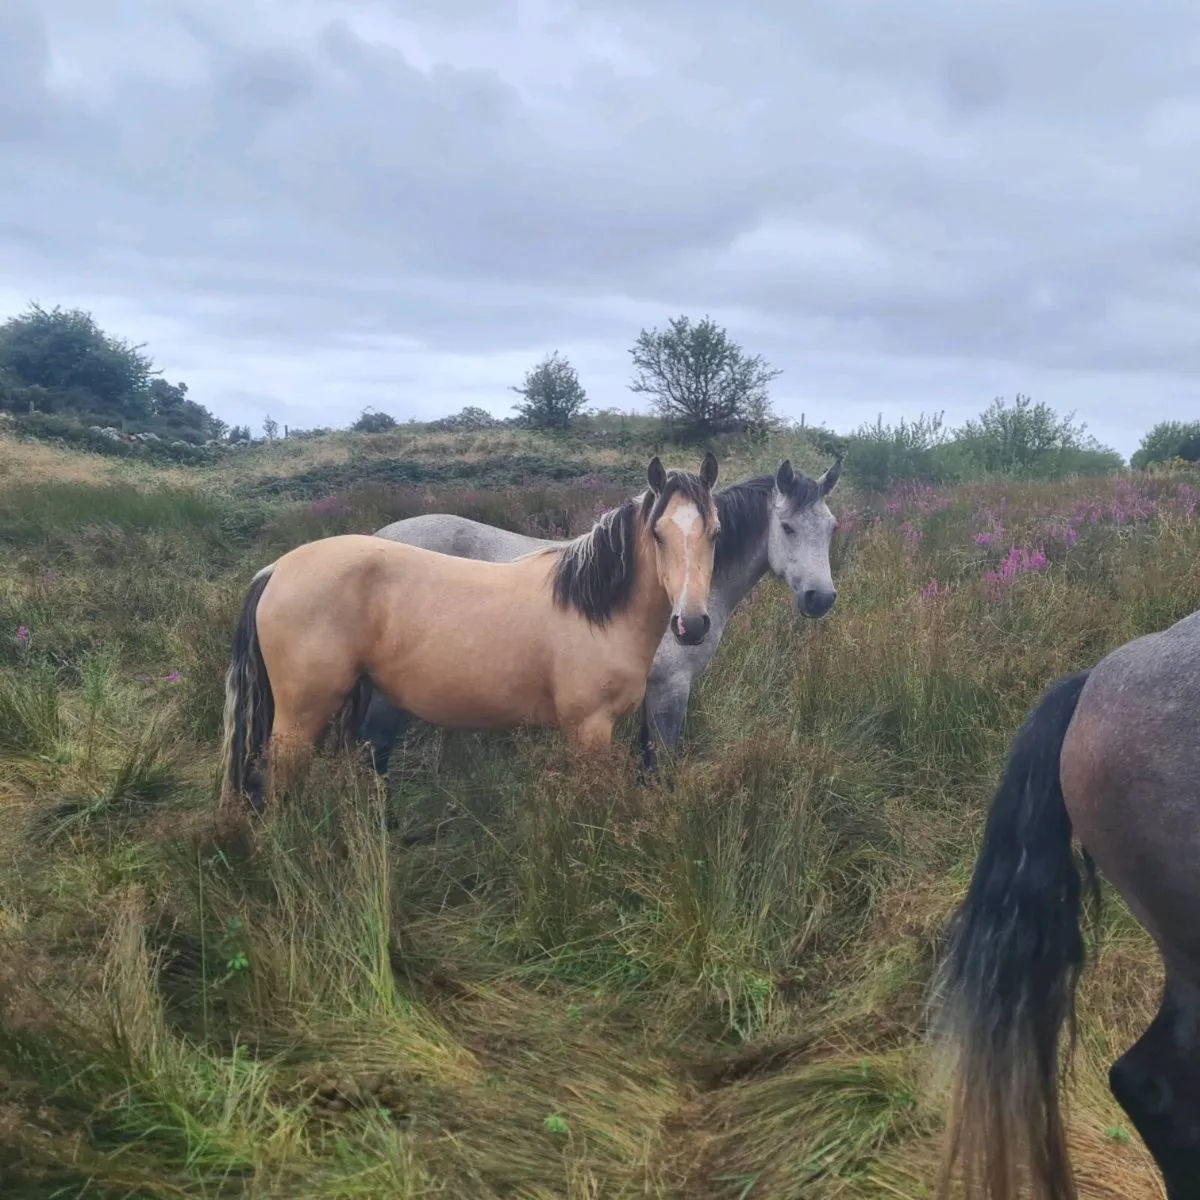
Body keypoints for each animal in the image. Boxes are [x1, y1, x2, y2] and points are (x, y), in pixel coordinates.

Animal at [219, 454, 722, 812]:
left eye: (715, 533)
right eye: (657, 534)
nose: (692, 624)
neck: (596, 609)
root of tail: (276, 568)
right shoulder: (589, 731)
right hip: (300, 718)